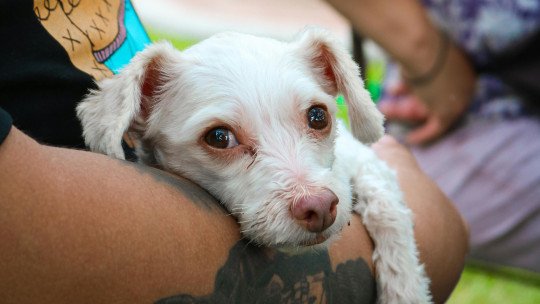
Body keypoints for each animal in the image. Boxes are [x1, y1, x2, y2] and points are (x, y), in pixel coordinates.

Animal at [75, 27, 430, 302]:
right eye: (219, 137)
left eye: (318, 116)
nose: (319, 207)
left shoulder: (362, 160)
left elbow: (388, 209)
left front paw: (405, 290)